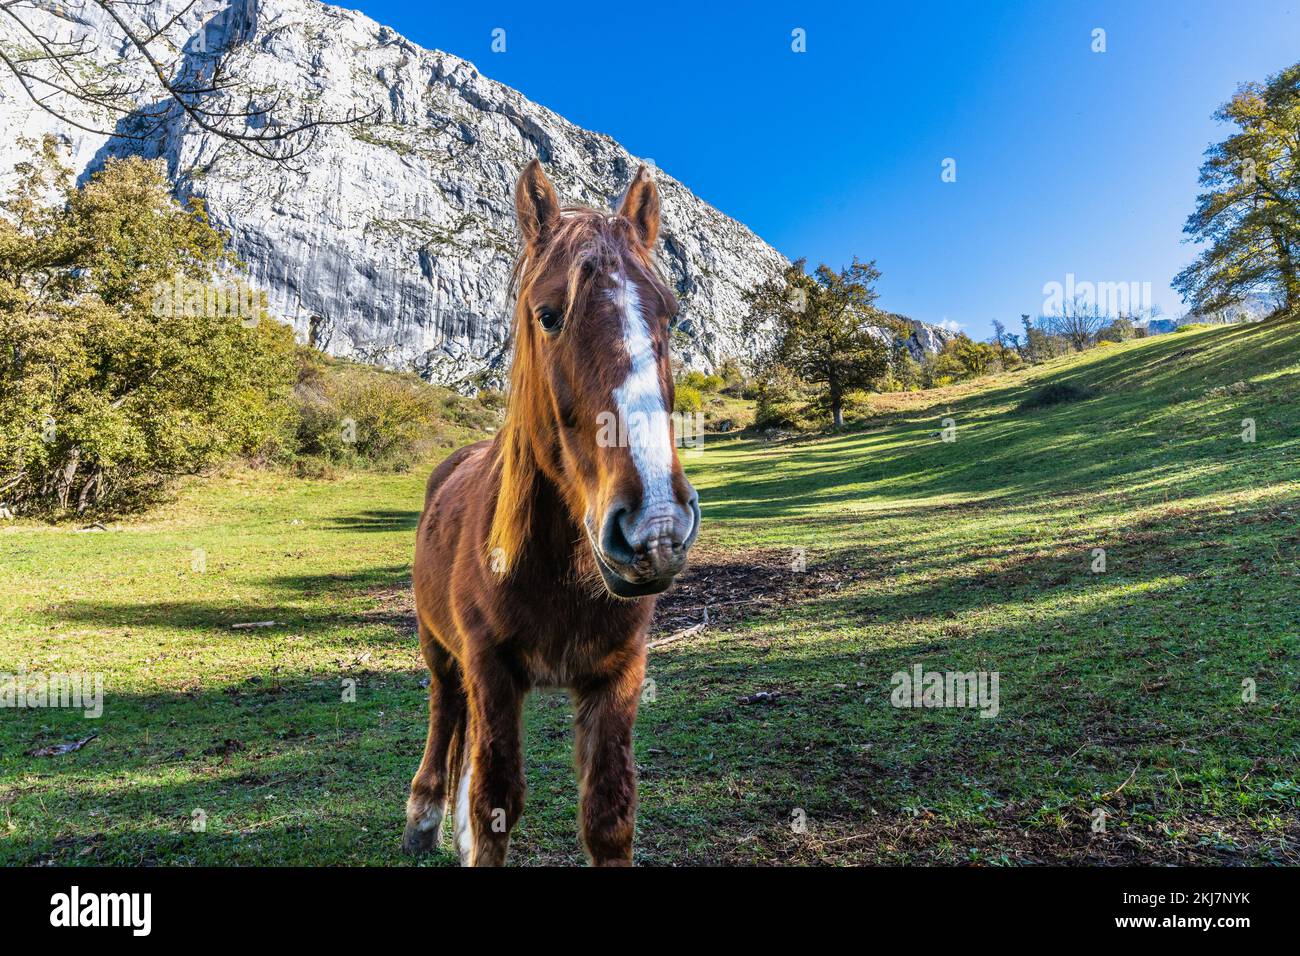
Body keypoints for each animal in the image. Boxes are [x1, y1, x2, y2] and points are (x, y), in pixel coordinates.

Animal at [402, 160, 701, 866]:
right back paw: (424, 817)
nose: (655, 529)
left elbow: (609, 815)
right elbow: (494, 807)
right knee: (445, 712)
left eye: (671, 316)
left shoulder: (618, 674)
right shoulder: (490, 670)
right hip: (439, 649)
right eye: (547, 315)